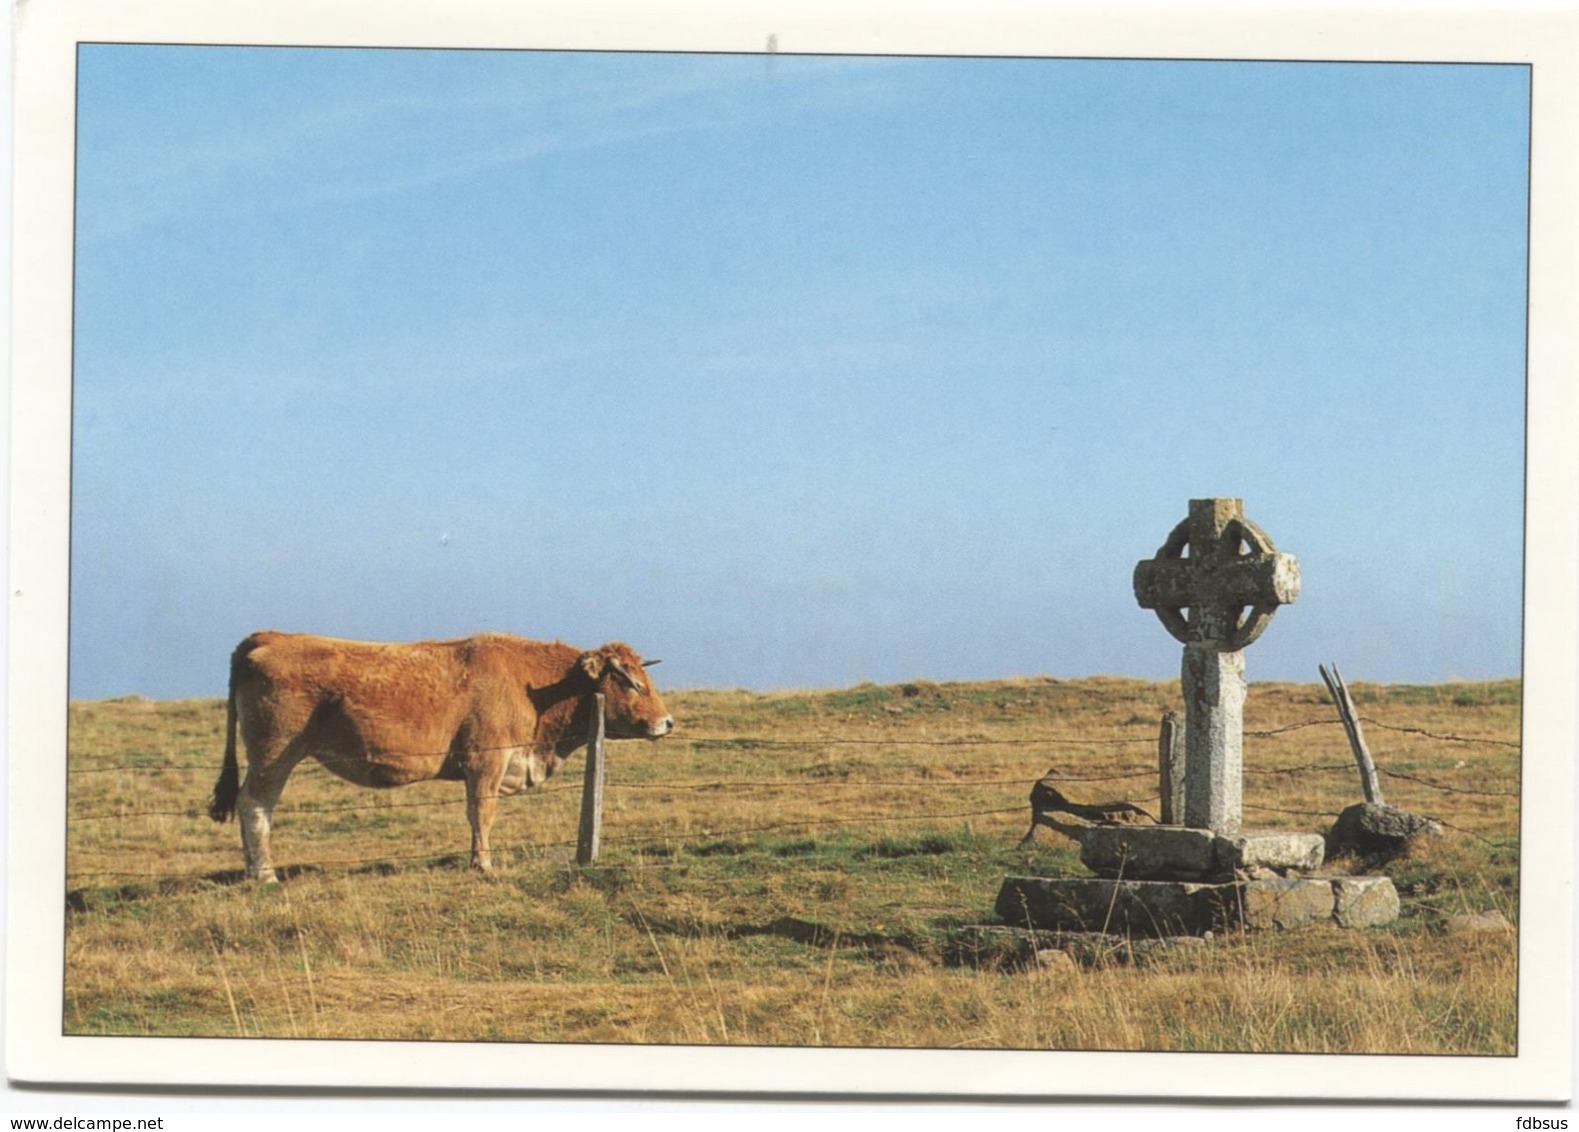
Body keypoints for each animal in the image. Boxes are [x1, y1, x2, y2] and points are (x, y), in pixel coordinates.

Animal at [205, 631, 672, 877]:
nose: (666, 722)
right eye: (630, 682)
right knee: (255, 805)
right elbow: (481, 813)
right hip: (273, 755)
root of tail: (268, 636)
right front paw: (482, 864)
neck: (534, 687)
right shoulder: (486, 761)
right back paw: (263, 873)